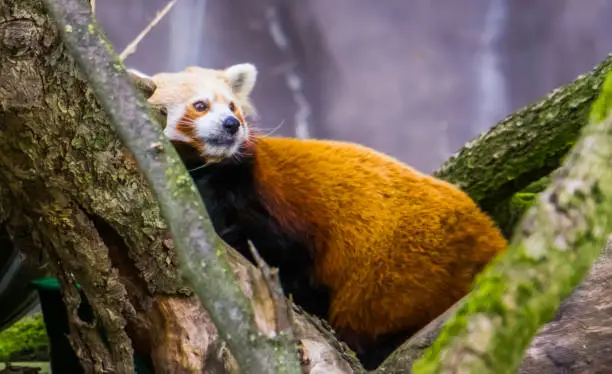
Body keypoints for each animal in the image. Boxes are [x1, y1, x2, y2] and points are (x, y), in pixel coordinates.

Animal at [128, 63, 506, 368]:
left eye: (232, 105)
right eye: (201, 105)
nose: (232, 124)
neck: (206, 170)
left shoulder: (265, 200)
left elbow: (285, 253)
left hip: (400, 272)